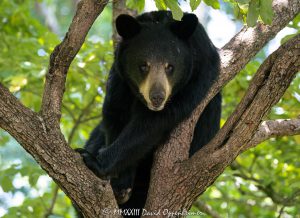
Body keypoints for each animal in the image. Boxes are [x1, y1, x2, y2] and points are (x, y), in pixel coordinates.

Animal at [76, 10, 221, 218]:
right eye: (143, 65)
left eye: (170, 66)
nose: (157, 97)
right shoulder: (120, 78)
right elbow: (114, 116)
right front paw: (121, 185)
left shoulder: (197, 77)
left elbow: (150, 125)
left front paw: (96, 161)